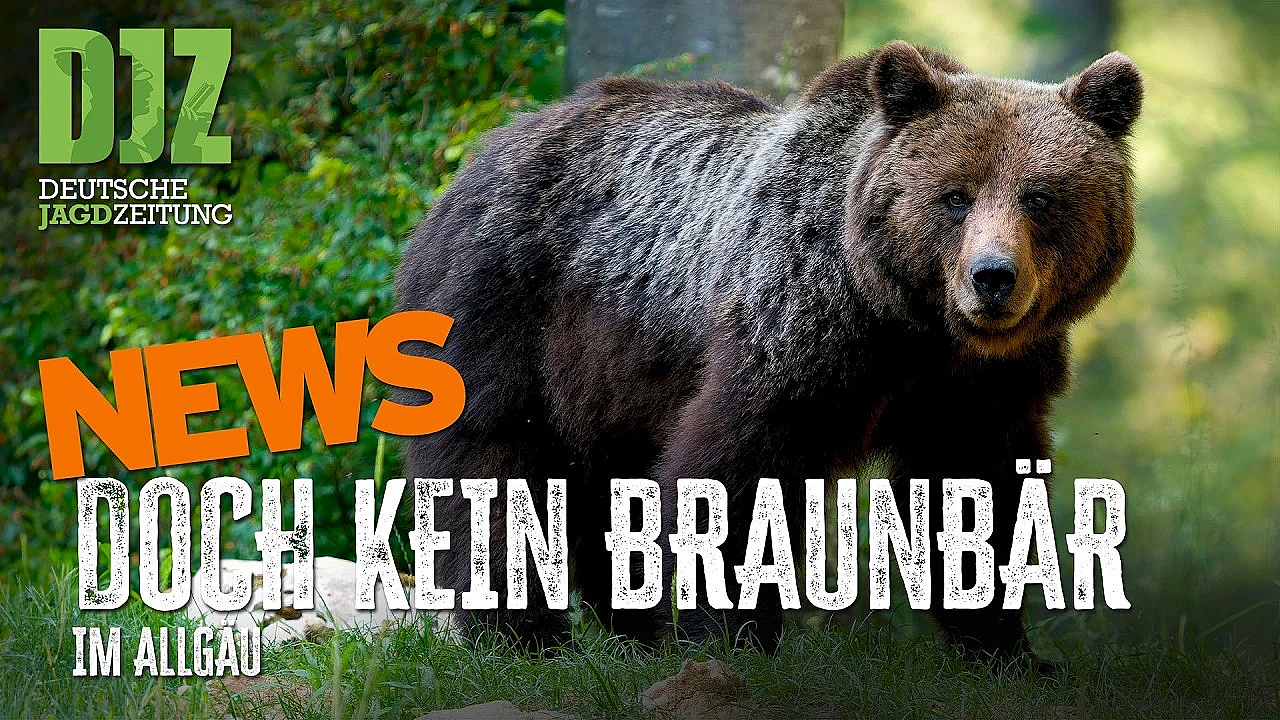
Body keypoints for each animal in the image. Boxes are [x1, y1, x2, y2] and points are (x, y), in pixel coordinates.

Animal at [394, 40, 1142, 665]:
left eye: (1040, 197)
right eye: (953, 197)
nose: (993, 278)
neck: (908, 324)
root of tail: (479, 153)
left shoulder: (982, 385)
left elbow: (977, 495)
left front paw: (1010, 651)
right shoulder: (800, 335)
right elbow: (738, 474)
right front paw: (733, 638)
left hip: (612, 381)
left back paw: (631, 634)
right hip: (504, 310)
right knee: (494, 461)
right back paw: (525, 637)